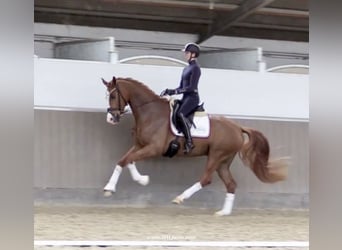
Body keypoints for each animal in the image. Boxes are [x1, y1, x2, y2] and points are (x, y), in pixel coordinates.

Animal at [100, 75, 288, 215]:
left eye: (113, 96)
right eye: (107, 96)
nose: (111, 118)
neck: (151, 113)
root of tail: (237, 127)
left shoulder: (153, 148)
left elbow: (127, 160)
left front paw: (111, 187)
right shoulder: (140, 145)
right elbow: (125, 160)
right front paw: (139, 180)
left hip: (216, 155)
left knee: (206, 179)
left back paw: (180, 198)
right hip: (223, 161)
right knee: (231, 184)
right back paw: (223, 213)